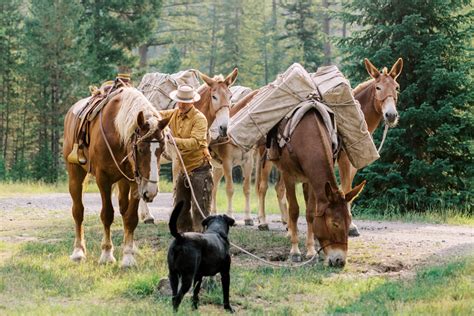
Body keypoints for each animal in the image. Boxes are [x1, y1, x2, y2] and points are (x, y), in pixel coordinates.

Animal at [62, 87, 168, 268]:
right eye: (140, 148)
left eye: (161, 149)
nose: (151, 191)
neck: (116, 132)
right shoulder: (103, 179)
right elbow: (107, 215)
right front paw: (106, 254)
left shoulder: (135, 182)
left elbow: (131, 218)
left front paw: (128, 256)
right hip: (75, 174)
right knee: (78, 211)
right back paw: (78, 252)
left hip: (123, 181)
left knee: (123, 209)